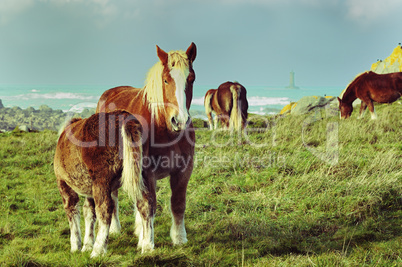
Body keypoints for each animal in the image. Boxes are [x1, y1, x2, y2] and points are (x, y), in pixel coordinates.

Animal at [54, 110, 144, 258]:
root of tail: (125, 118)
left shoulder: (63, 184)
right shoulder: (89, 189)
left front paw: (75, 246)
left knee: (105, 209)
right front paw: (87, 245)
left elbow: (72, 211)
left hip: (101, 180)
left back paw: (98, 250)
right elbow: (89, 213)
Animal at [97, 43, 198, 254]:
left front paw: (179, 238)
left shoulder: (183, 170)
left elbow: (178, 203)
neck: (164, 129)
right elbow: (148, 205)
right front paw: (147, 244)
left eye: (191, 78)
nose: (179, 120)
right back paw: (116, 228)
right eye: (166, 80)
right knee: (115, 196)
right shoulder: (146, 172)